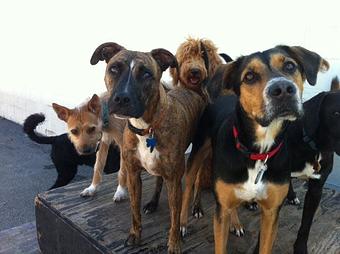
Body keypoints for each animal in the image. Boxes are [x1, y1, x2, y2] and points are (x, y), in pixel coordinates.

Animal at [91, 42, 205, 253]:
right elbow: (134, 210)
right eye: (114, 69)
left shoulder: (174, 180)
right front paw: (135, 235)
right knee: (159, 180)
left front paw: (174, 244)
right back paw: (152, 203)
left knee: (199, 179)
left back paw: (197, 207)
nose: (122, 98)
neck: (147, 127)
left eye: (146, 74)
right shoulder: (133, 174)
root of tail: (193, 90)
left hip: (202, 153)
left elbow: (175, 218)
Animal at [185, 46, 328, 254]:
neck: (258, 152)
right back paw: (182, 225)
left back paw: (236, 223)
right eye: (249, 76)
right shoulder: (221, 211)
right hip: (198, 151)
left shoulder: (271, 212)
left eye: (290, 65)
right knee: (189, 185)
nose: (283, 89)